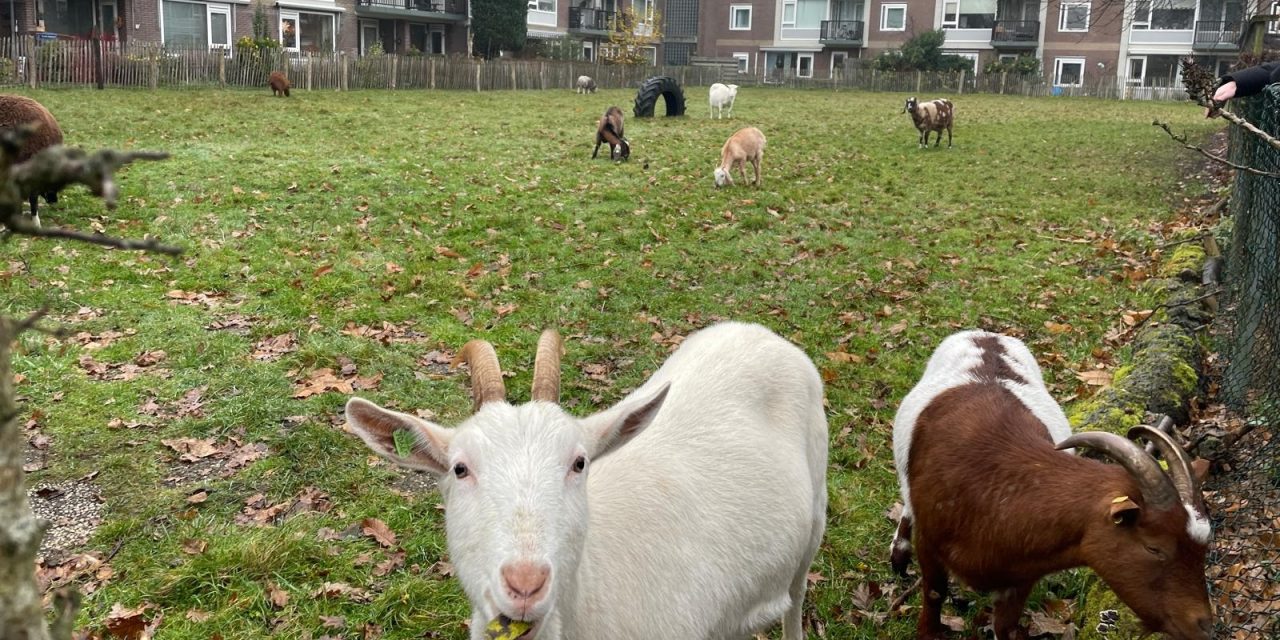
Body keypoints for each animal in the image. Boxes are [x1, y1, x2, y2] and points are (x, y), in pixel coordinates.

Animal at [890, 330, 1208, 640]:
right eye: (1154, 548)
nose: (1204, 624)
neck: (996, 496)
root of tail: (986, 334)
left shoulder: (1020, 577)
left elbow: (1005, 626)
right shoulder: (929, 542)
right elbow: (934, 592)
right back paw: (898, 556)